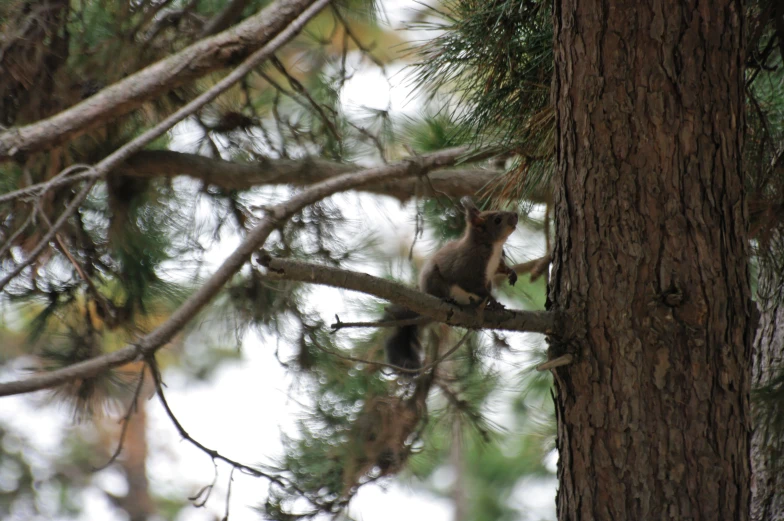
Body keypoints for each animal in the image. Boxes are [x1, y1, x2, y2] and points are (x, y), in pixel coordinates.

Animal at [382, 196, 516, 370]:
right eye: (497, 220)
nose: (515, 215)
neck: (494, 246)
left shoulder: (495, 263)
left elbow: (500, 268)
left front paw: (511, 273)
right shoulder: (468, 266)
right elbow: (470, 283)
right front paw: (494, 301)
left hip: (486, 284)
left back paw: (481, 305)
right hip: (435, 281)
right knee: (442, 291)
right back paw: (449, 300)